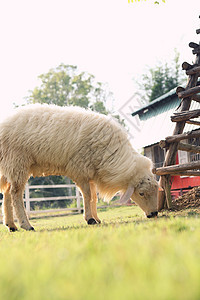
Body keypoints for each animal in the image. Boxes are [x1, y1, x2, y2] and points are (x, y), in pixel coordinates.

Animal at [0, 104, 159, 231]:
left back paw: (11, 226)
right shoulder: (80, 170)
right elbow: (87, 195)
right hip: (17, 161)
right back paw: (26, 225)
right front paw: (90, 219)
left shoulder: (91, 172)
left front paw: (97, 218)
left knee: (7, 193)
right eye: (141, 193)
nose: (154, 214)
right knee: (15, 194)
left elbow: (94, 197)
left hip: (10, 165)